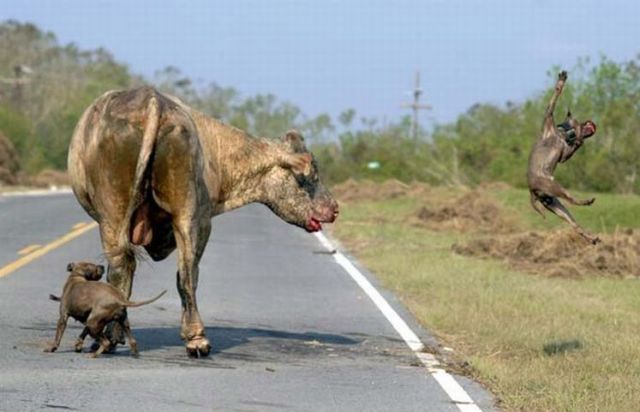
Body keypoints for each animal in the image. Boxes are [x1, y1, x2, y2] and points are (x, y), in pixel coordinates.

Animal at [67, 86, 339, 357]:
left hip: (130, 216)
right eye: (311, 175)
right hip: (170, 215)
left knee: (142, 271)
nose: (335, 208)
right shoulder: (204, 220)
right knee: (176, 274)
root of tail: (152, 100)